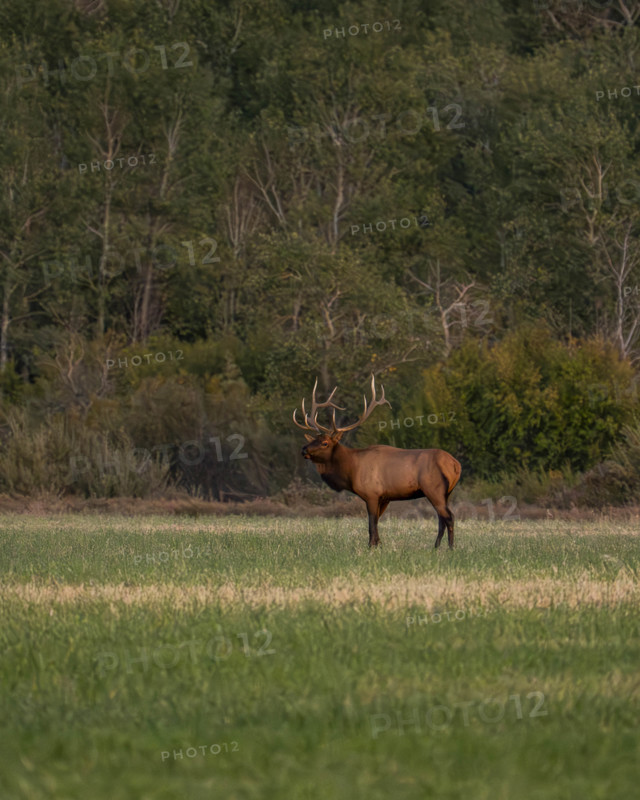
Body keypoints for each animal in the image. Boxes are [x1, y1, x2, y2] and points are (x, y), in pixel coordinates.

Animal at [293, 374, 461, 549]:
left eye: (325, 443)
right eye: (314, 439)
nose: (304, 449)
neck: (351, 470)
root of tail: (455, 465)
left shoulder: (372, 494)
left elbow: (371, 524)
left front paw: (371, 547)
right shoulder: (384, 497)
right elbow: (376, 523)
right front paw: (379, 544)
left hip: (433, 488)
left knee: (449, 517)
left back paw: (450, 548)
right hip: (446, 493)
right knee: (441, 519)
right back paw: (436, 547)